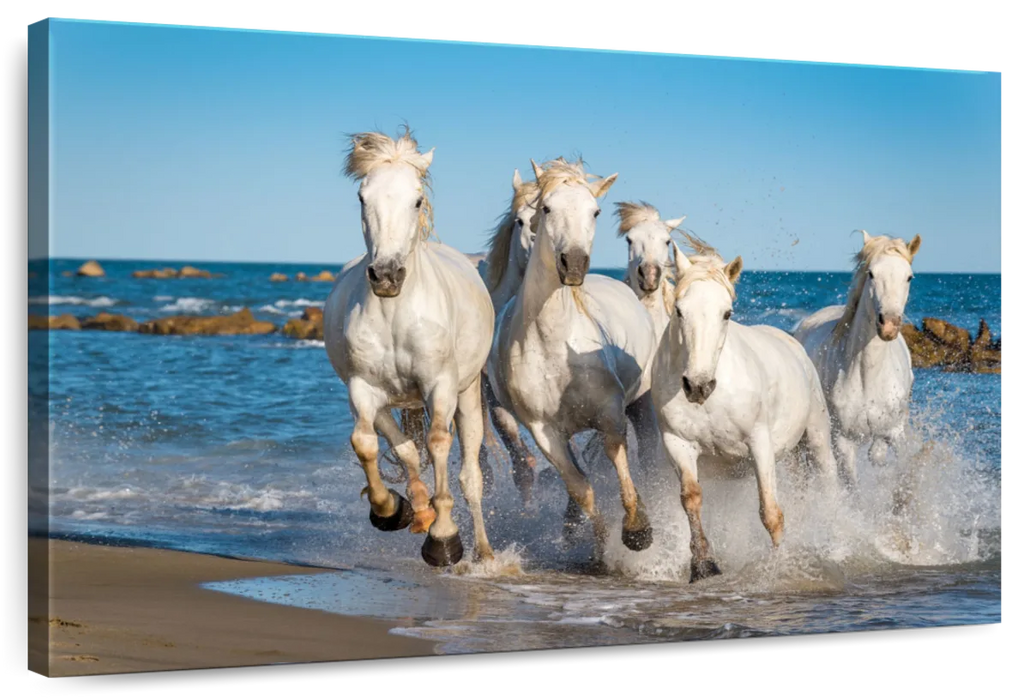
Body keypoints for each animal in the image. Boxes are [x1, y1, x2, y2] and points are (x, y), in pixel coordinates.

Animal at [323, 129, 495, 568]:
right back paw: (418, 511)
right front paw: (391, 510)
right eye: (362, 197)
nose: (386, 275)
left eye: (416, 200)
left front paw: (444, 539)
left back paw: (484, 552)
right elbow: (368, 444)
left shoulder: (441, 386)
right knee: (404, 450)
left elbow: (438, 443)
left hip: (468, 394)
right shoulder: (363, 389)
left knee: (471, 476)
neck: (395, 313)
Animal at [483, 155, 658, 560]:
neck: (555, 345)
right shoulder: (544, 431)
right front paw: (601, 547)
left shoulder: (610, 411)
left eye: (595, 211)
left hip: (642, 405)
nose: (574, 264)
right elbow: (580, 487)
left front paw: (637, 529)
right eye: (546, 208)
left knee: (645, 456)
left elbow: (616, 454)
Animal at [654, 233, 839, 580]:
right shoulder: (677, 443)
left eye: (727, 313)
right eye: (679, 310)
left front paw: (779, 567)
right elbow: (691, 498)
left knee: (828, 482)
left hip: (817, 436)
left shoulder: (759, 442)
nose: (698, 386)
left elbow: (771, 512)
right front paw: (703, 565)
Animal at [790, 229, 930, 485]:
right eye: (871, 273)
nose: (889, 325)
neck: (868, 375)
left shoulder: (896, 432)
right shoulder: (844, 441)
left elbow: (901, 465)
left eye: (909, 277)